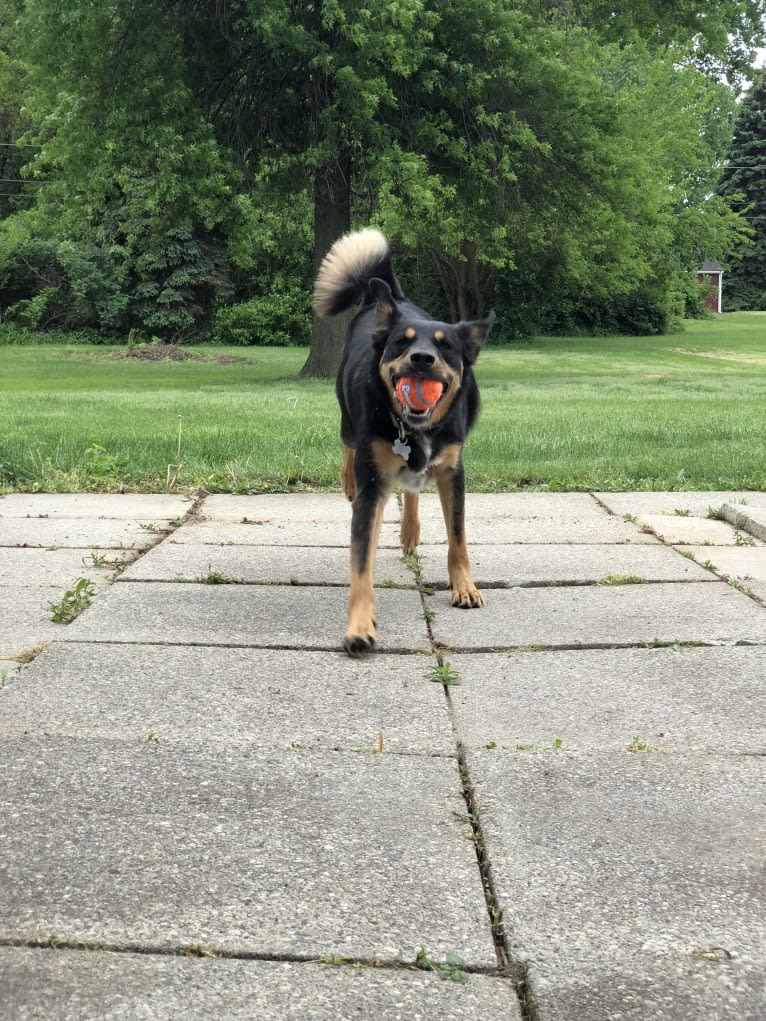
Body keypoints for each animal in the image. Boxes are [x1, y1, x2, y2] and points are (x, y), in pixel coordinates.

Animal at [312, 228, 498, 657]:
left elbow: (458, 537)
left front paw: (465, 587)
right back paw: (348, 479)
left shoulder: (453, 472)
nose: (422, 358)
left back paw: (410, 531)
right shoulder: (374, 486)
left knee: (413, 488)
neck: (414, 430)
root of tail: (387, 297)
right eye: (402, 342)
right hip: (348, 418)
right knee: (348, 445)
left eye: (446, 346)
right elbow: (361, 563)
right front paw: (360, 626)